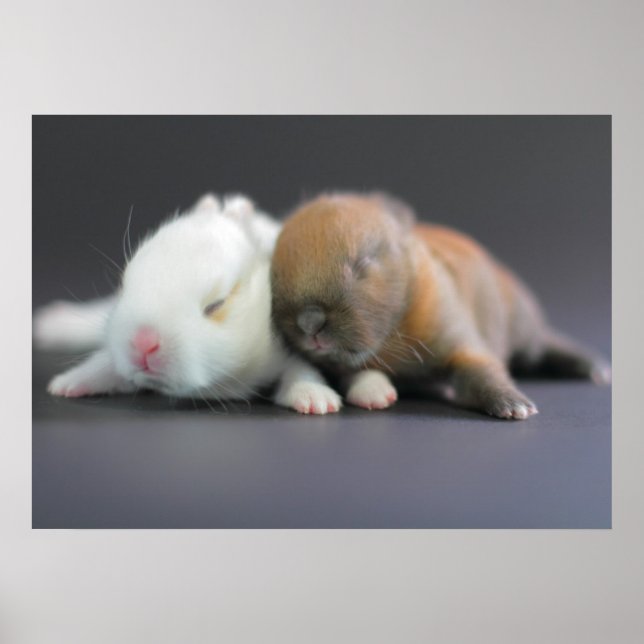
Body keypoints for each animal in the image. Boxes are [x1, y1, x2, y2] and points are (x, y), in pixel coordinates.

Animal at [33, 193, 342, 415]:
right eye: (125, 285)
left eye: (216, 305)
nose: (143, 342)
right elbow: (105, 364)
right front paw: (68, 384)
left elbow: (302, 371)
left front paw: (316, 399)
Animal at [270, 192, 611, 420]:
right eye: (276, 273)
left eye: (362, 264)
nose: (310, 323)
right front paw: (374, 393)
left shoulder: (461, 341)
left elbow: (482, 372)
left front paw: (515, 406)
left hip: (526, 331)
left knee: (547, 344)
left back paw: (594, 368)